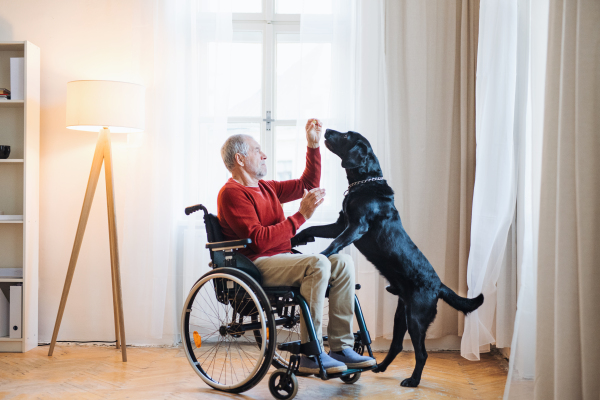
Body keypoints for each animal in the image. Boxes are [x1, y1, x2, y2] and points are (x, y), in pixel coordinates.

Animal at [292, 129, 486, 388]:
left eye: (346, 136)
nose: (328, 130)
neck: (364, 183)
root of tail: (439, 285)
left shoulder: (356, 226)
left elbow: (334, 244)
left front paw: (321, 255)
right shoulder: (340, 224)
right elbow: (311, 228)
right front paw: (295, 239)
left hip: (416, 318)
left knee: (421, 353)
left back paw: (413, 380)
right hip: (401, 315)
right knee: (396, 345)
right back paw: (380, 366)